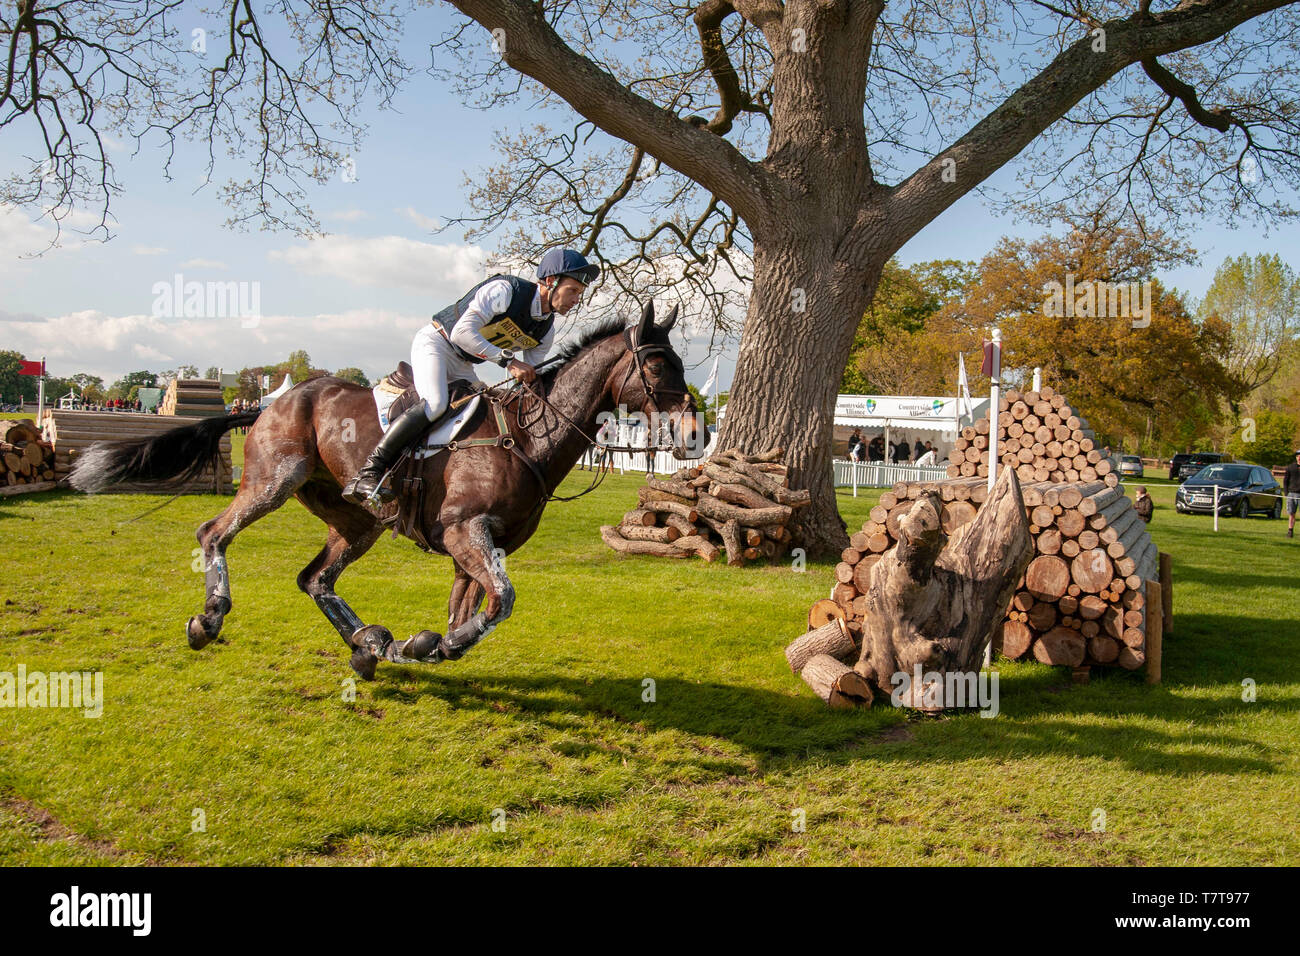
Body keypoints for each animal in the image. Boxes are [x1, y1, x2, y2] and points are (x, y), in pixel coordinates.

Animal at [71, 300, 707, 681]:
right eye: (657, 364)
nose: (696, 433)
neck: (526, 436)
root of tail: (274, 399)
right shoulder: (465, 533)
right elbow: (500, 601)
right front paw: (428, 646)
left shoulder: (478, 547)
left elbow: (472, 613)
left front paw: (421, 645)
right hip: (274, 481)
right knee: (214, 534)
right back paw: (210, 619)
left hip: (358, 521)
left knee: (315, 579)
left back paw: (369, 643)